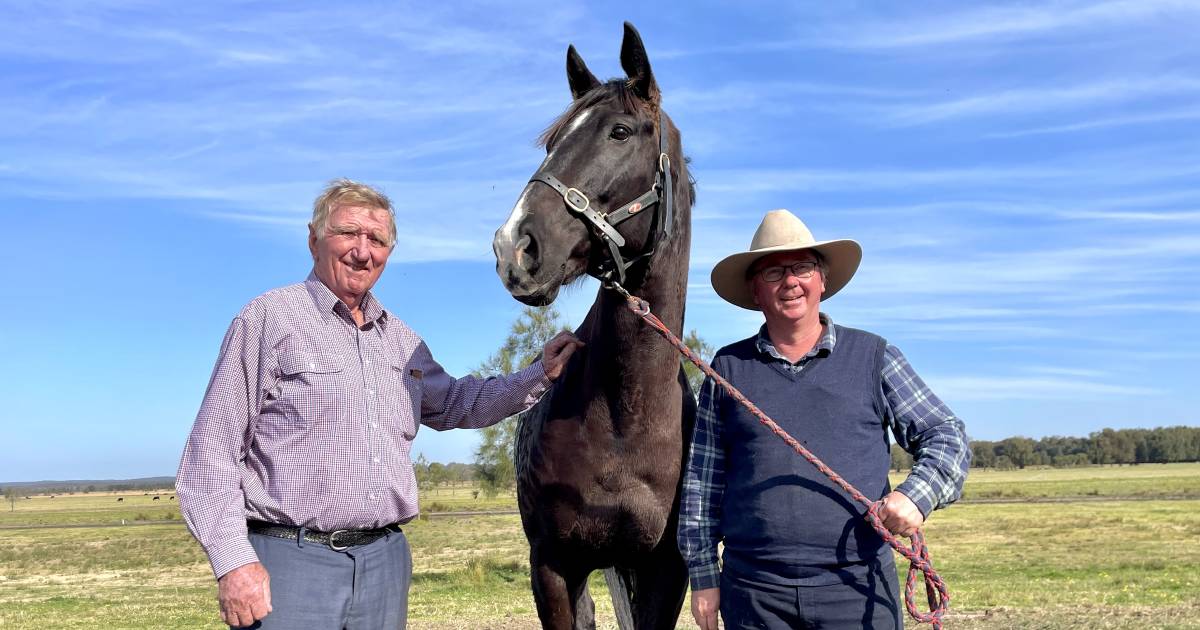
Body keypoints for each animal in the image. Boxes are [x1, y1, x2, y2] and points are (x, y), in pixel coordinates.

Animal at [487, 22, 696, 628]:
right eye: (552, 143)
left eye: (620, 132)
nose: (514, 247)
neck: (625, 415)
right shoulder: (555, 568)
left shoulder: (664, 572)